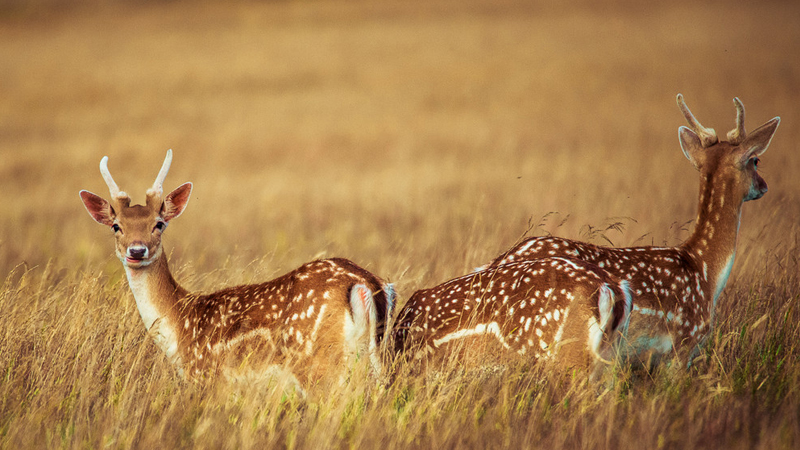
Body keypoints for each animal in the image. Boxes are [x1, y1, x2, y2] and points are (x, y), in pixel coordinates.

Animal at [78, 151, 396, 390]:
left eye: (159, 223)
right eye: (116, 226)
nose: (136, 250)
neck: (180, 326)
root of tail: (365, 283)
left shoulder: (208, 378)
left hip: (319, 366)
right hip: (377, 358)